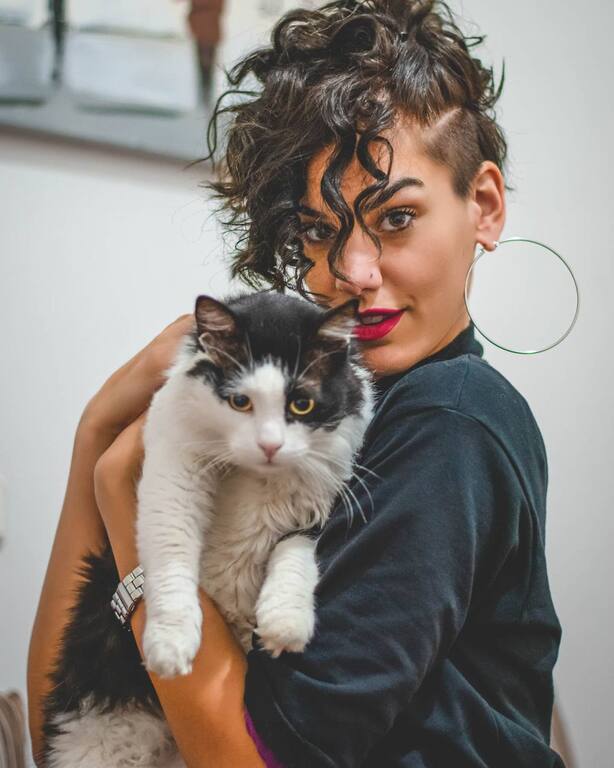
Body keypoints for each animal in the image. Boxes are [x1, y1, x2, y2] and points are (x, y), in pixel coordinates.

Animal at [42, 290, 374, 768]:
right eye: (240, 402)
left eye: (301, 404)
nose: (270, 446)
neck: (257, 477)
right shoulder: (173, 464)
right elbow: (172, 548)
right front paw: (171, 642)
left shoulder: (318, 502)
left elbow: (294, 554)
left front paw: (285, 622)